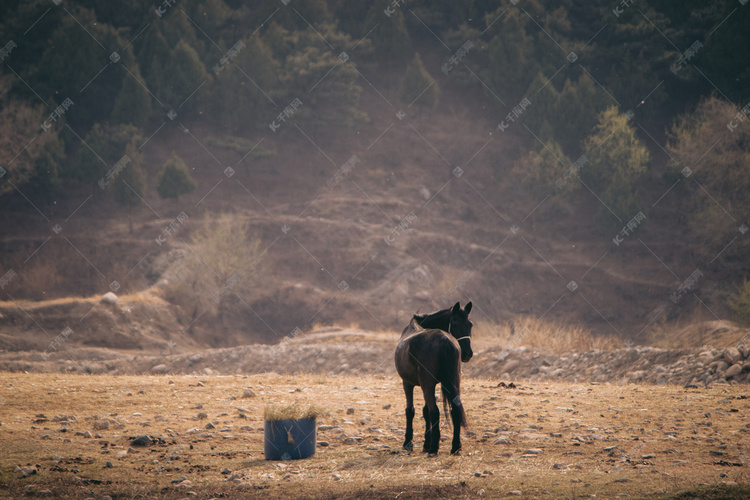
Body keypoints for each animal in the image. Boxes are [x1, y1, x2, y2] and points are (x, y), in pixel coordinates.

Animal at [396, 300, 472, 458]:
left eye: (470, 324)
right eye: (454, 323)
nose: (468, 353)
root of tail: (444, 340)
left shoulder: (408, 383)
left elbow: (411, 410)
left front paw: (408, 442)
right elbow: (425, 411)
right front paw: (426, 442)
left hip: (427, 385)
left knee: (435, 411)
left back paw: (434, 448)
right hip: (453, 382)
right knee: (455, 410)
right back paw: (455, 446)